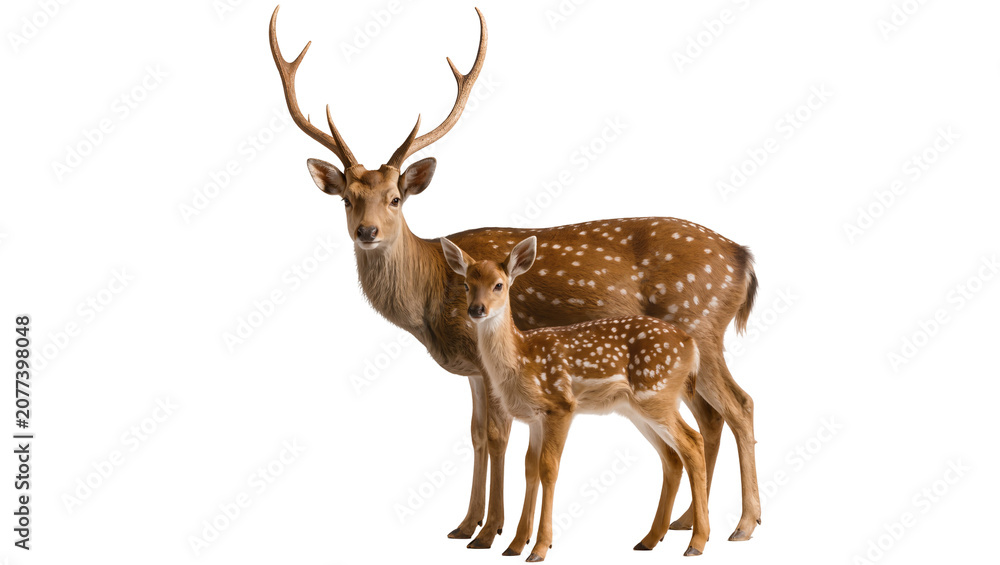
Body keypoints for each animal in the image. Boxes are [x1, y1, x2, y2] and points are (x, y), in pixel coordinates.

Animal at [441, 235, 710, 561]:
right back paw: (648, 539)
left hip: (658, 393)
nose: (476, 310)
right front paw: (515, 545)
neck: (521, 357)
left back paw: (696, 542)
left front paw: (540, 547)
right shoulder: (534, 418)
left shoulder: (561, 406)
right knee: (671, 456)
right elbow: (530, 468)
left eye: (499, 285)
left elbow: (549, 469)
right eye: (467, 284)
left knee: (693, 442)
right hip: (638, 408)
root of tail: (691, 345)